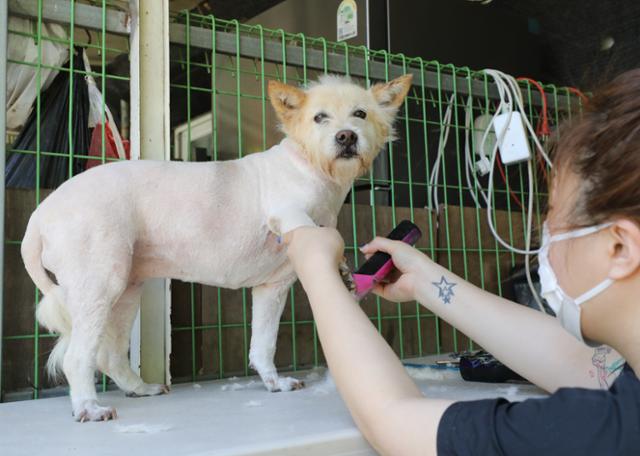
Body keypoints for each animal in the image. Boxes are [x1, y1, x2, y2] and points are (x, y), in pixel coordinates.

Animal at [20, 74, 412, 420]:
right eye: (320, 117)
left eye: (360, 114)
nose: (346, 137)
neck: (314, 170)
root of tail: (40, 214)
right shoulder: (286, 212)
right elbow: (304, 224)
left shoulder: (273, 288)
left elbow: (263, 344)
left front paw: (274, 383)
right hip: (100, 286)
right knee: (77, 358)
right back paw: (88, 407)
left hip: (126, 291)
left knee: (110, 356)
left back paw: (140, 388)